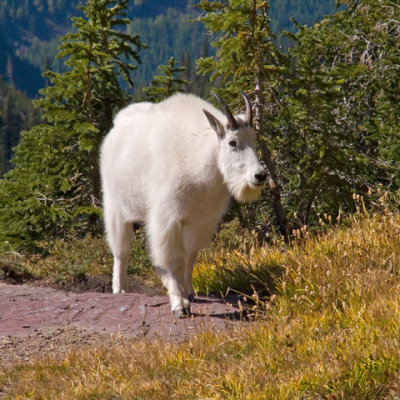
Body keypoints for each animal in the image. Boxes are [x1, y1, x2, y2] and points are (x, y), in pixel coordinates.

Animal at [100, 92, 268, 318]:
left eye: (254, 140)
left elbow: (190, 257)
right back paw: (120, 288)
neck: (201, 160)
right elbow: (175, 260)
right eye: (232, 142)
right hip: (115, 205)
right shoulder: (168, 219)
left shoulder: (199, 221)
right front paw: (179, 305)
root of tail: (116, 125)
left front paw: (188, 293)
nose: (260, 175)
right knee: (121, 250)